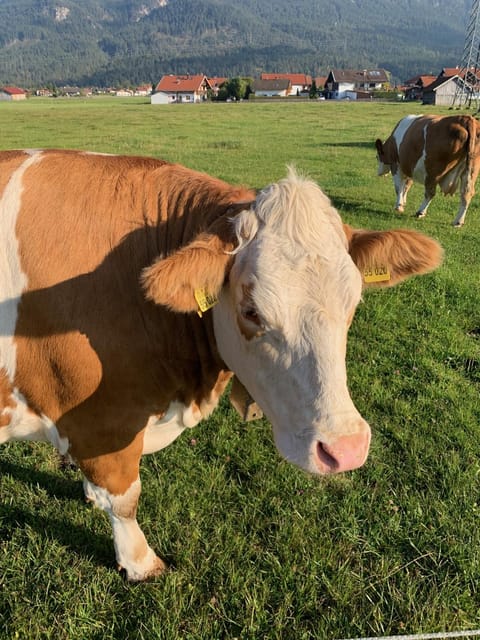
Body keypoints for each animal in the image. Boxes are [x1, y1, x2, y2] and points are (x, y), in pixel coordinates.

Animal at [0, 150, 442, 580]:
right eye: (251, 312)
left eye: (354, 301)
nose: (345, 448)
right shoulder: (103, 419)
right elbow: (125, 501)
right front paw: (140, 562)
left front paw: (91, 495)